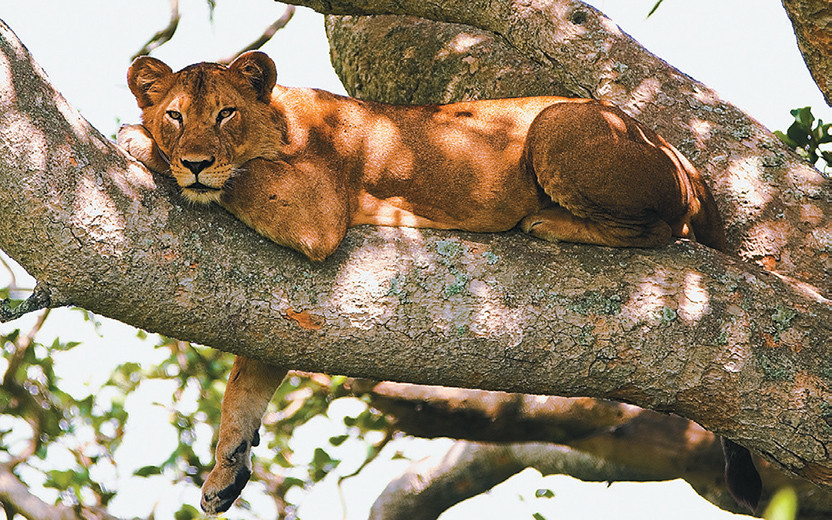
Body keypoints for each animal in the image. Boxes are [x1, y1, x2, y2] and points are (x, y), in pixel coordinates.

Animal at [119, 51, 760, 514]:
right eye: (176, 115)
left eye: (225, 114)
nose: (195, 162)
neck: (281, 120)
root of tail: (684, 155)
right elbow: (247, 381)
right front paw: (227, 468)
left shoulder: (316, 211)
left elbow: (241, 176)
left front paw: (137, 141)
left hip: (558, 123)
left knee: (660, 229)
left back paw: (549, 221)